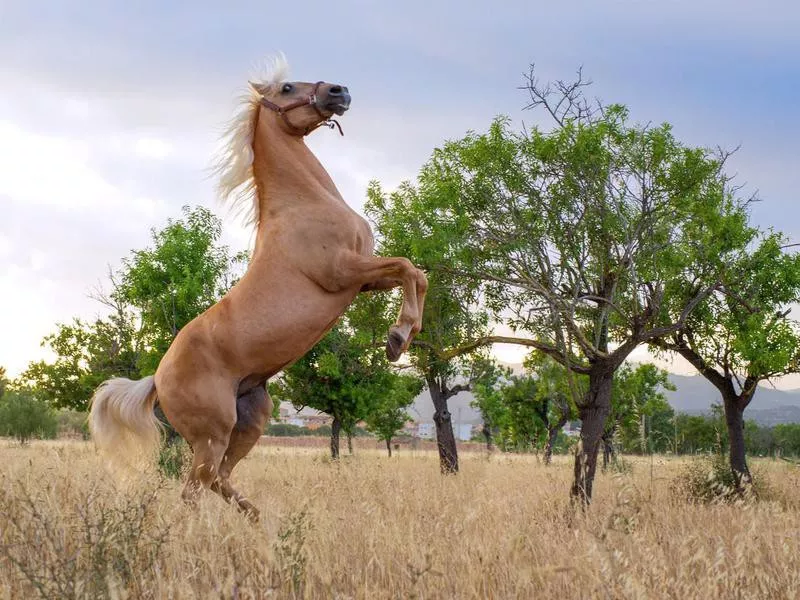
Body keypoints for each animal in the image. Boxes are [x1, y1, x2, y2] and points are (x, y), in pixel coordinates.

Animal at [88, 56, 428, 520]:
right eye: (286, 88)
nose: (339, 91)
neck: (303, 204)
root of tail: (156, 378)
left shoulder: (364, 280)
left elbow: (415, 274)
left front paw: (402, 337)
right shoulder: (342, 273)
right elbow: (409, 268)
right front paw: (397, 338)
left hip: (251, 419)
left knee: (220, 479)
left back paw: (257, 519)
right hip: (212, 433)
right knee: (194, 488)